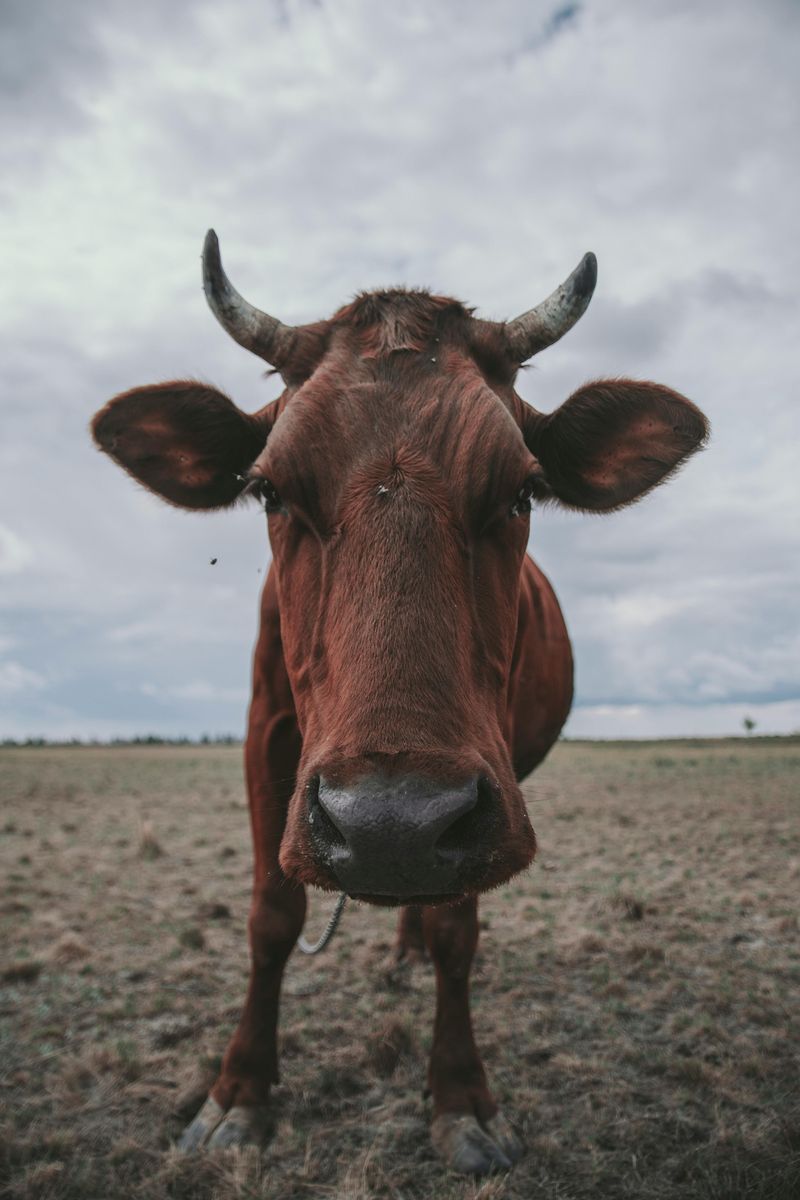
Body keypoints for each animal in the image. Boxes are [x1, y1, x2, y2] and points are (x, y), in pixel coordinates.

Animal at [91, 232, 708, 1174]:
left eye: (522, 491)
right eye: (269, 490)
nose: (392, 824)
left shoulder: (487, 781)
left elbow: (458, 931)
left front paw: (460, 1096)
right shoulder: (267, 737)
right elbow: (271, 917)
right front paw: (239, 1092)